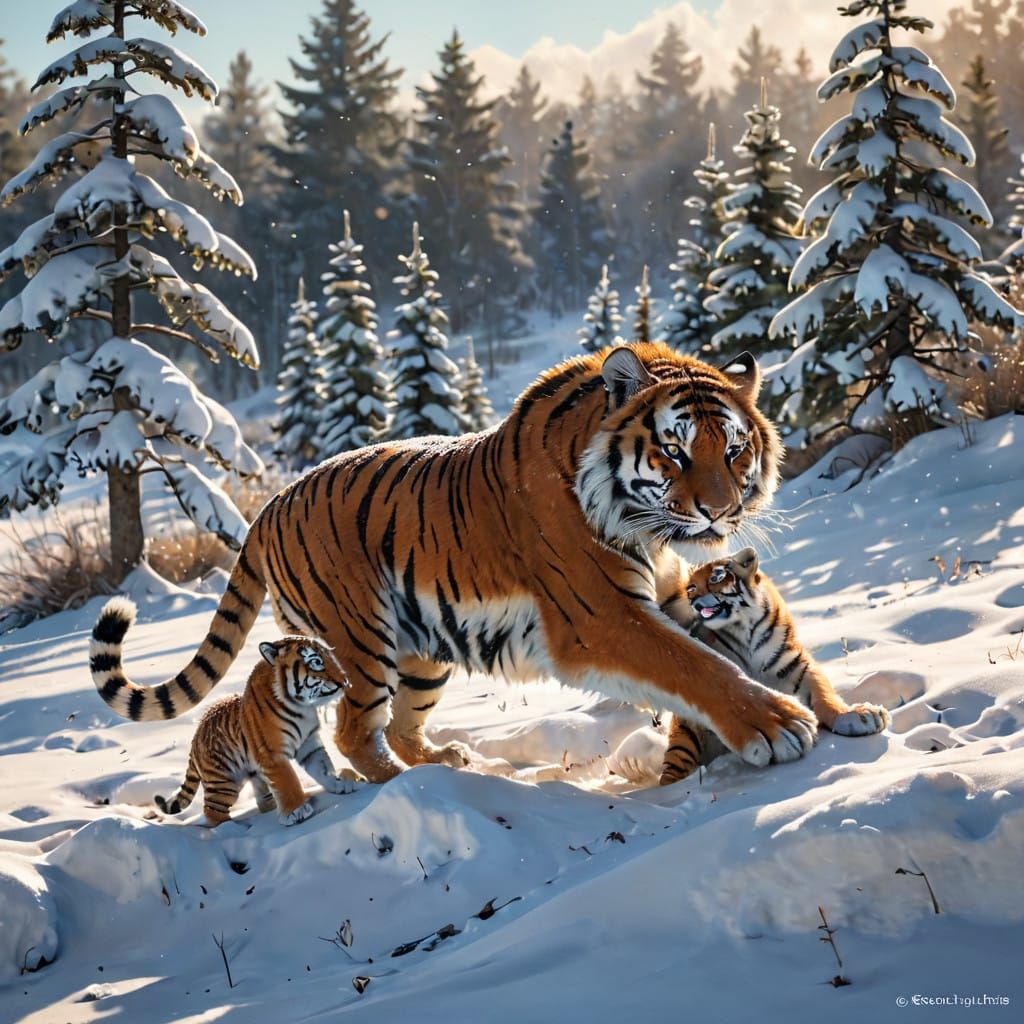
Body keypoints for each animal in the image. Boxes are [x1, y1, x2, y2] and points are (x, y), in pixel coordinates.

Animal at [89, 342, 820, 785]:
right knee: (355, 731)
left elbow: (714, 655)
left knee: (401, 726)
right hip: (360, 640)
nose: (719, 513)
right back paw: (406, 783)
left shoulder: (666, 596)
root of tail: (266, 506)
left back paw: (449, 762)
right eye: (673, 451)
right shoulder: (601, 617)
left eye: (733, 449)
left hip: (421, 655)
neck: (649, 528)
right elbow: (693, 666)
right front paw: (779, 724)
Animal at [91, 598, 359, 825]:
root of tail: (194, 740)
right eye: (316, 662)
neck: (303, 706)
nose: (345, 680)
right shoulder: (272, 754)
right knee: (213, 813)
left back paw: (268, 809)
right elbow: (287, 781)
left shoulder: (308, 743)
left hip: (250, 773)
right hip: (223, 782)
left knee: (259, 797)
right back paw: (232, 828)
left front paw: (339, 783)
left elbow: (323, 767)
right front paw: (297, 811)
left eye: (329, 656)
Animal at [659, 547, 891, 785]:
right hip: (684, 736)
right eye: (691, 588)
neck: (743, 628)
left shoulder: (798, 664)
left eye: (715, 577)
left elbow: (824, 695)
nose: (694, 600)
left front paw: (858, 716)